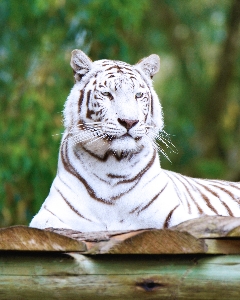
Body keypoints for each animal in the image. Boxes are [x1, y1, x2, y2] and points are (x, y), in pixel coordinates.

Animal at [29, 49, 240, 232]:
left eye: (138, 95)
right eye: (107, 94)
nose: (129, 121)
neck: (111, 164)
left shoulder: (175, 214)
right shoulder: (48, 216)